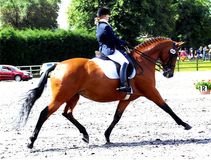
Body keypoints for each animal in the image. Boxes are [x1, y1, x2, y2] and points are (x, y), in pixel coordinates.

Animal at [17, 37, 191, 149]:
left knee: (67, 113)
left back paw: (85, 135)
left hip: (73, 96)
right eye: (175, 54)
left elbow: (116, 117)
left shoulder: (127, 98)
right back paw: (31, 142)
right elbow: (166, 108)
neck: (142, 62)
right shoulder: (151, 92)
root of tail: (58, 65)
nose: (169, 74)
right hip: (61, 96)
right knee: (44, 113)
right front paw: (185, 124)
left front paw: (107, 136)